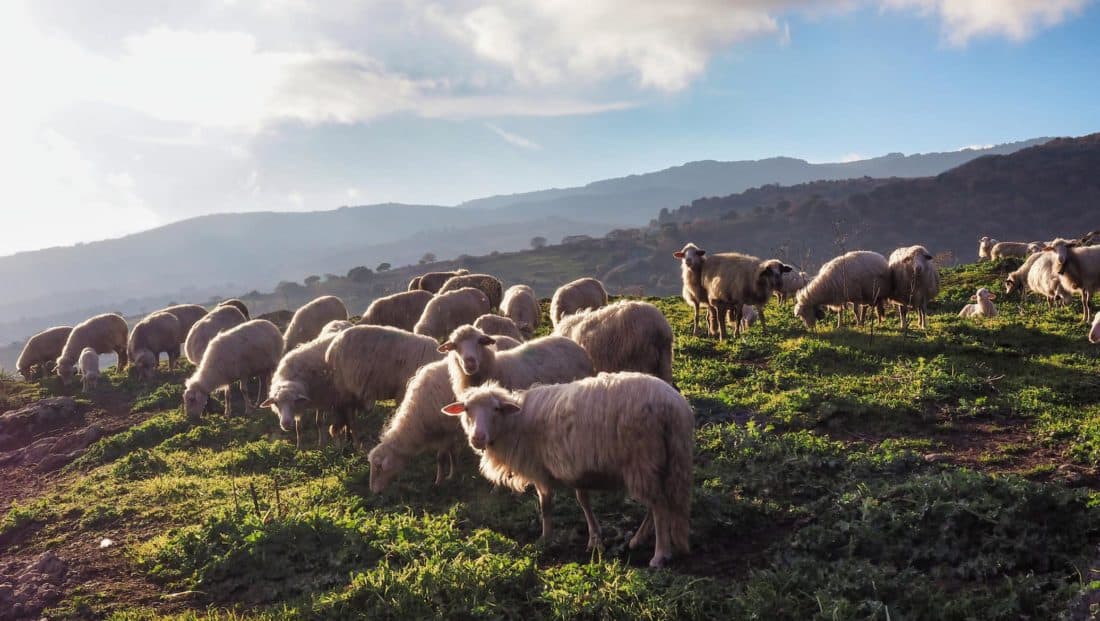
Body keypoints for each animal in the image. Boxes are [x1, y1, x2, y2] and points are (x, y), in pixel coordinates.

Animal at [262, 320, 355, 449]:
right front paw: (299, 447)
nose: (285, 424)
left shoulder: (321, 398)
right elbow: (299, 428)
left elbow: (319, 422)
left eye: (293, 401)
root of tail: (342, 321)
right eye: (276, 403)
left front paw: (322, 444)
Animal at [441, 372, 694, 567]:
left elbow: (546, 506)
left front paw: (545, 539)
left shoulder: (540, 470)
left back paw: (659, 555)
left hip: (642, 460)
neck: (514, 423)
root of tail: (675, 407)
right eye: (466, 409)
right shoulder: (577, 468)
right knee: (657, 505)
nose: (477, 438)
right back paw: (638, 540)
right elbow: (583, 501)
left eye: (495, 409)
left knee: (659, 507)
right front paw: (594, 538)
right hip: (658, 463)